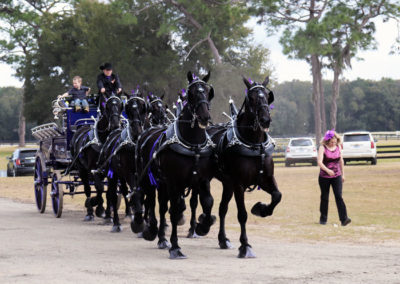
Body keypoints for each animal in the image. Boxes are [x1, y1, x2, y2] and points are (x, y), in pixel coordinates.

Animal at [137, 71, 217, 260]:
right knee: (152, 203)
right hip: (150, 181)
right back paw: (153, 231)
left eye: (208, 91)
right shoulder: (174, 182)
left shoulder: (202, 181)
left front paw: (202, 226)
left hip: (163, 184)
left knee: (161, 206)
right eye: (191, 93)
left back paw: (161, 237)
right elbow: (173, 212)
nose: (204, 117)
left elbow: (208, 202)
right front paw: (175, 247)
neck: (193, 145)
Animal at [211, 76, 282, 258]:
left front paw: (261, 209)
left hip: (227, 184)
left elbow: (277, 196)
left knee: (222, 209)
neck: (254, 144)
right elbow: (242, 214)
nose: (265, 120)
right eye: (251, 98)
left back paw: (223, 240)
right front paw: (245, 246)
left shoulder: (266, 179)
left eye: (268, 96)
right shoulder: (239, 184)